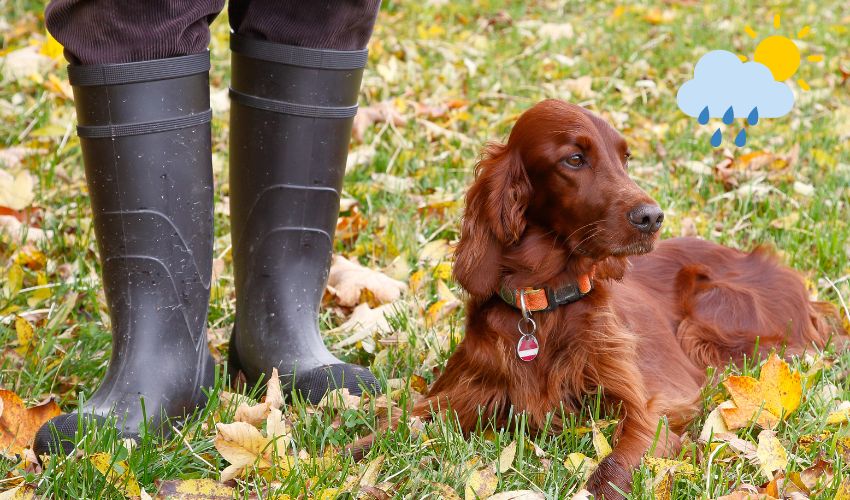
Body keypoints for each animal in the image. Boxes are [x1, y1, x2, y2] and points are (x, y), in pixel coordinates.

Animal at [348, 99, 840, 498]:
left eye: (625, 158)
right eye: (575, 158)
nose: (652, 217)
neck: (543, 303)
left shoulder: (650, 407)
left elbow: (617, 461)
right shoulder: (464, 395)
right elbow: (397, 425)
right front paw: (348, 451)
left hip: (709, 316)